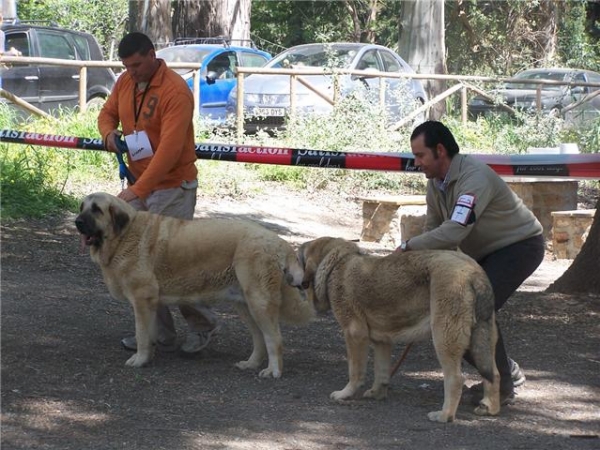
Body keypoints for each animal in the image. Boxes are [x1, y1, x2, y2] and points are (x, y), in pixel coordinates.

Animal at [75, 192, 314, 378]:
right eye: (82, 208)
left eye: (96, 210)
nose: (77, 222)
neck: (124, 235)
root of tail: (280, 242)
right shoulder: (151, 303)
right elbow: (149, 333)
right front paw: (148, 357)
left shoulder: (142, 300)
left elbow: (142, 334)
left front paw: (139, 359)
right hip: (246, 306)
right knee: (260, 339)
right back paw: (251, 364)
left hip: (259, 303)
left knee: (274, 339)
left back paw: (273, 371)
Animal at [298, 237, 502, 424]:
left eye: (298, 259)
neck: (338, 263)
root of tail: (473, 271)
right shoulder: (381, 342)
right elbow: (381, 371)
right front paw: (377, 393)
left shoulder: (354, 334)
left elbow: (355, 371)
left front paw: (345, 394)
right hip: (484, 340)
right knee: (494, 373)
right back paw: (490, 408)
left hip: (444, 339)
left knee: (456, 379)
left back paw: (445, 415)